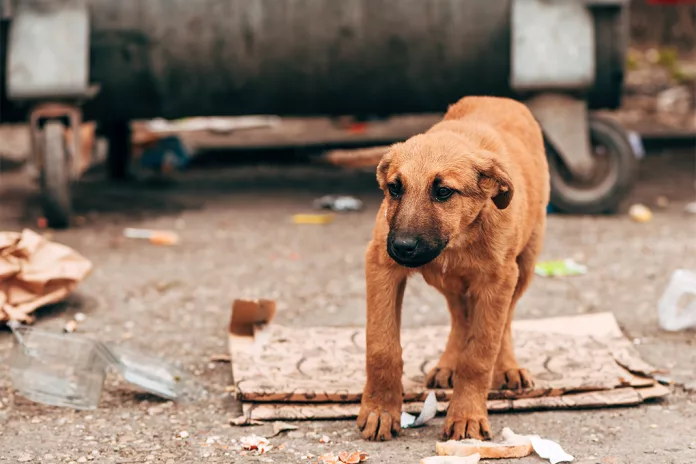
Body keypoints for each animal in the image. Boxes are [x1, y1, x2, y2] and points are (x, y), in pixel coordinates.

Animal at [358, 96, 548, 440]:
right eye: (395, 188)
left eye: (443, 191)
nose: (402, 247)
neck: (459, 236)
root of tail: (500, 98)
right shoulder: (381, 265)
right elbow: (382, 346)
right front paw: (380, 411)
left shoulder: (498, 281)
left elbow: (480, 353)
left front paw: (467, 415)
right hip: (448, 282)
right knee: (460, 317)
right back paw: (448, 364)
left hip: (524, 266)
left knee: (504, 321)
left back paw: (507, 368)